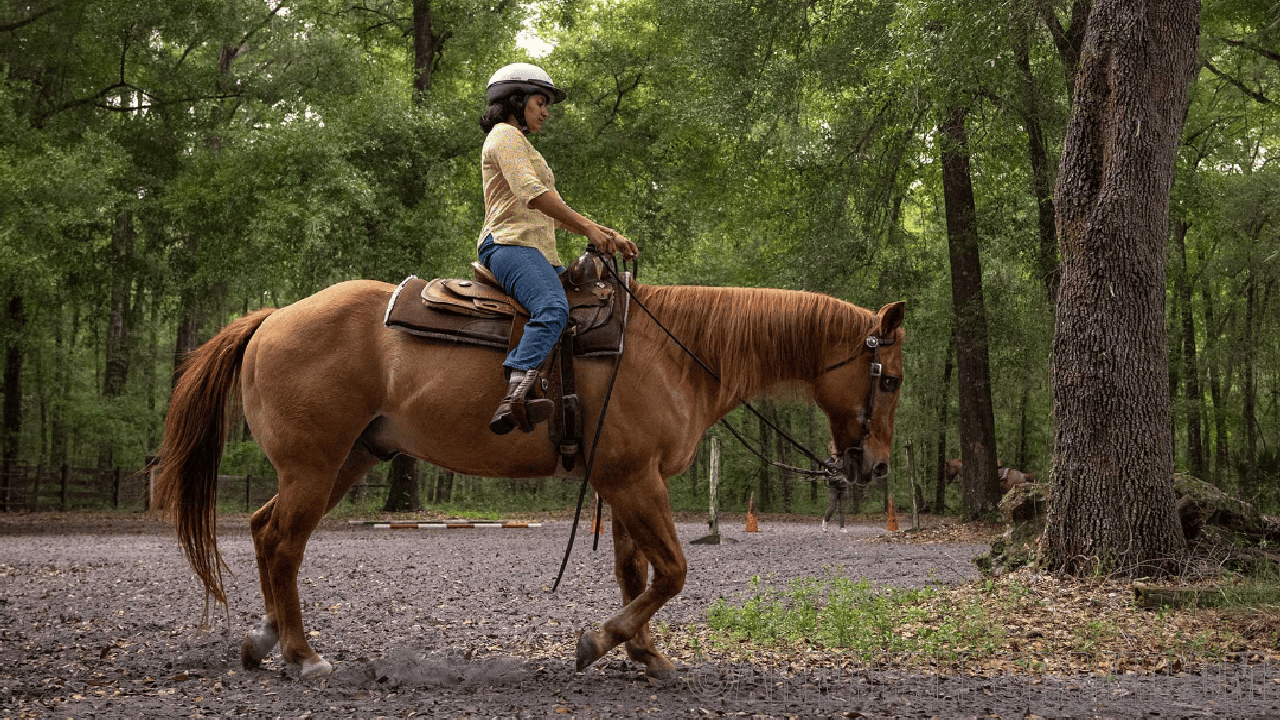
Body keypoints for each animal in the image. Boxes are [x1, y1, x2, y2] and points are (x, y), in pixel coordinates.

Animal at [154, 275, 906, 676]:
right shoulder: (635, 479)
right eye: (892, 379)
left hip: (344, 461)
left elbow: (636, 571)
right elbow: (672, 571)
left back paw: (266, 638)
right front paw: (599, 642)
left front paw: (643, 653)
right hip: (314, 467)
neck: (675, 355)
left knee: (264, 532)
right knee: (283, 543)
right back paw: (302, 653)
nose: (873, 466)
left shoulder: (622, 480)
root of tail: (271, 318)